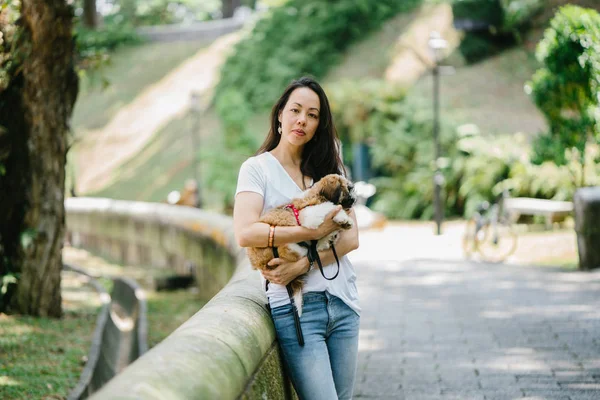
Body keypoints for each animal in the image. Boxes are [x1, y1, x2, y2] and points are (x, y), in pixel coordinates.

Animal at [246, 174, 354, 316]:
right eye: (348, 189)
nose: (354, 200)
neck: (317, 196)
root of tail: (258, 264)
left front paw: (343, 223)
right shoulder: (308, 216)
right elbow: (329, 206)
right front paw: (343, 218)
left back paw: (328, 239)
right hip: (286, 246)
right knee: (306, 252)